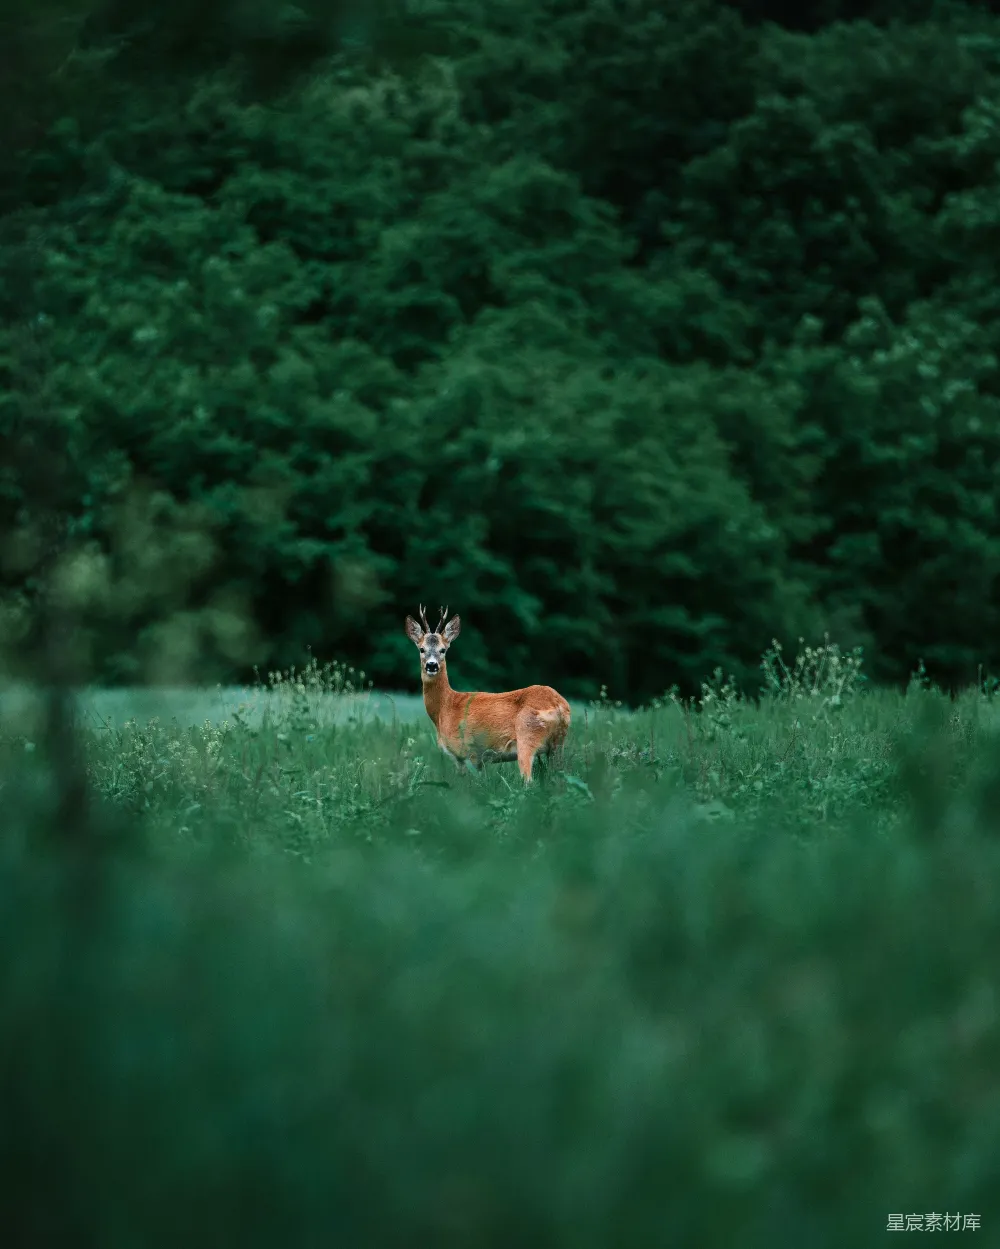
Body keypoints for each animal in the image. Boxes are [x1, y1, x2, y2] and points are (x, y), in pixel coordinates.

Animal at [405, 605, 571, 784]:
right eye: (422, 649)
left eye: (443, 650)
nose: (432, 665)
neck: (445, 707)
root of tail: (558, 705)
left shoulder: (467, 751)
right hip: (558, 744)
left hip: (527, 736)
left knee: (528, 780)